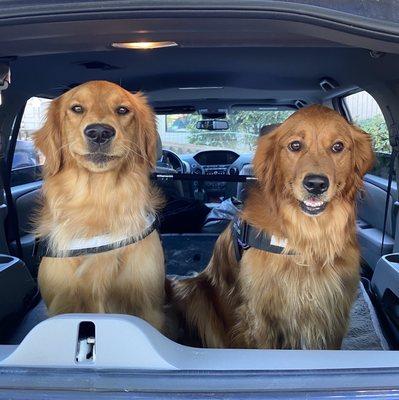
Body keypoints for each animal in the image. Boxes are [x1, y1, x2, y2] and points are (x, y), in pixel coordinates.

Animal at [34, 80, 165, 332]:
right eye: (77, 108)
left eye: (122, 110)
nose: (99, 132)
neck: (98, 203)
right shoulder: (61, 305)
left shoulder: (150, 307)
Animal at [171, 105, 376, 350]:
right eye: (295, 145)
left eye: (338, 147)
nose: (316, 184)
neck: (308, 236)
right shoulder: (261, 317)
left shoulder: (333, 313)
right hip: (192, 293)